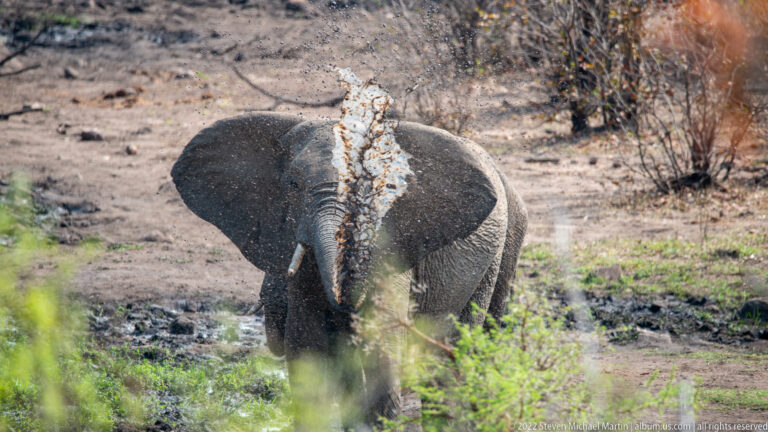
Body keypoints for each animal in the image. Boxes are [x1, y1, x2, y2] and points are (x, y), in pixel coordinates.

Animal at [171, 111, 527, 429]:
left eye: (372, 185)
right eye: (294, 184)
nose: (344, 302)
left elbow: (381, 344)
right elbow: (307, 350)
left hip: (503, 246)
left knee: (458, 351)